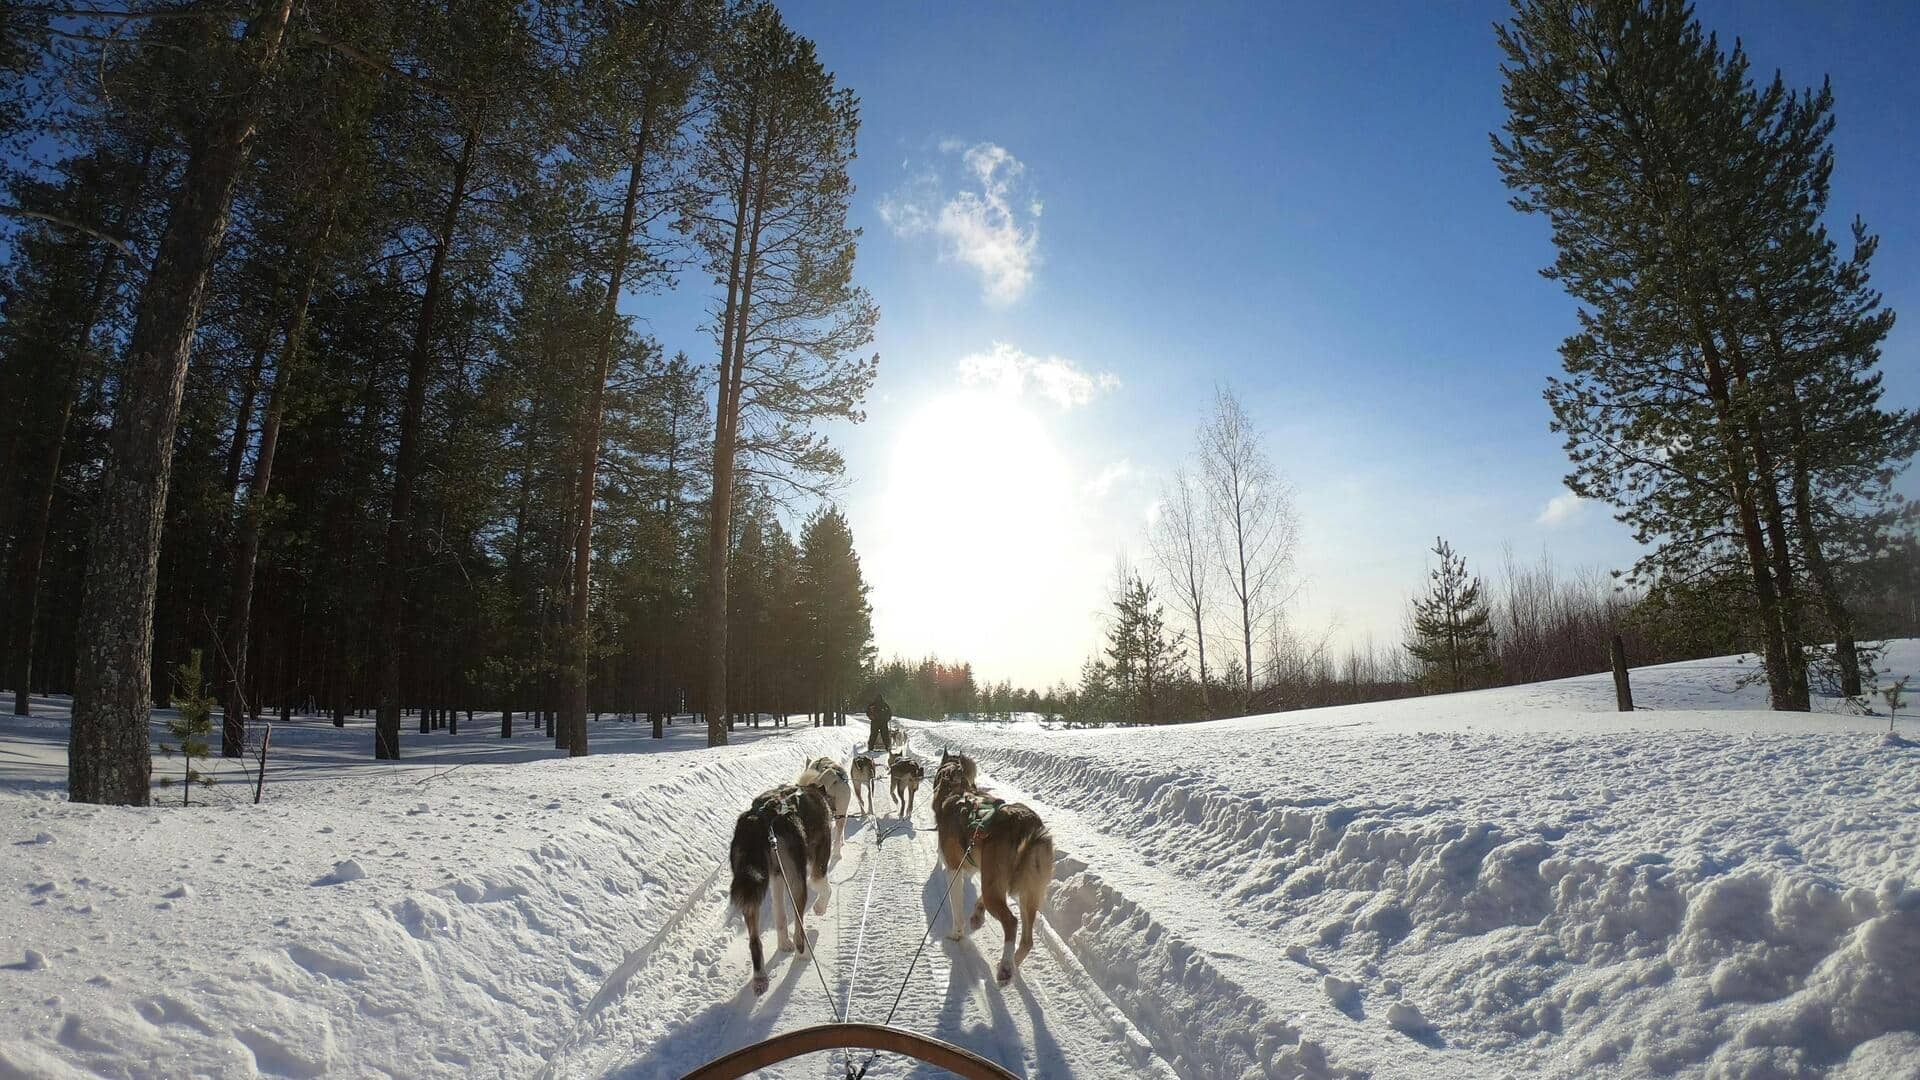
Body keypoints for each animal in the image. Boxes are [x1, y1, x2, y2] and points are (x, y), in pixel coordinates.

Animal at [725, 776, 833, 991]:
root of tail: (759, 819)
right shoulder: (819, 859)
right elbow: (821, 884)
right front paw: (820, 908)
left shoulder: (776, 877)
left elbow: (780, 915)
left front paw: (783, 943)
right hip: (796, 880)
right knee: (799, 930)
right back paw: (803, 953)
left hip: (751, 887)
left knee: (755, 940)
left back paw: (760, 976)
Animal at [929, 753, 1052, 980]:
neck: (955, 790)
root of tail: (1026, 823)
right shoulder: (982, 872)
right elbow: (978, 899)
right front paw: (977, 915)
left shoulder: (954, 870)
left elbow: (956, 908)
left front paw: (956, 933)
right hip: (1027, 893)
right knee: (1027, 940)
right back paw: (1011, 965)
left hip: (1000, 890)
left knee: (1011, 922)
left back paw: (1005, 968)